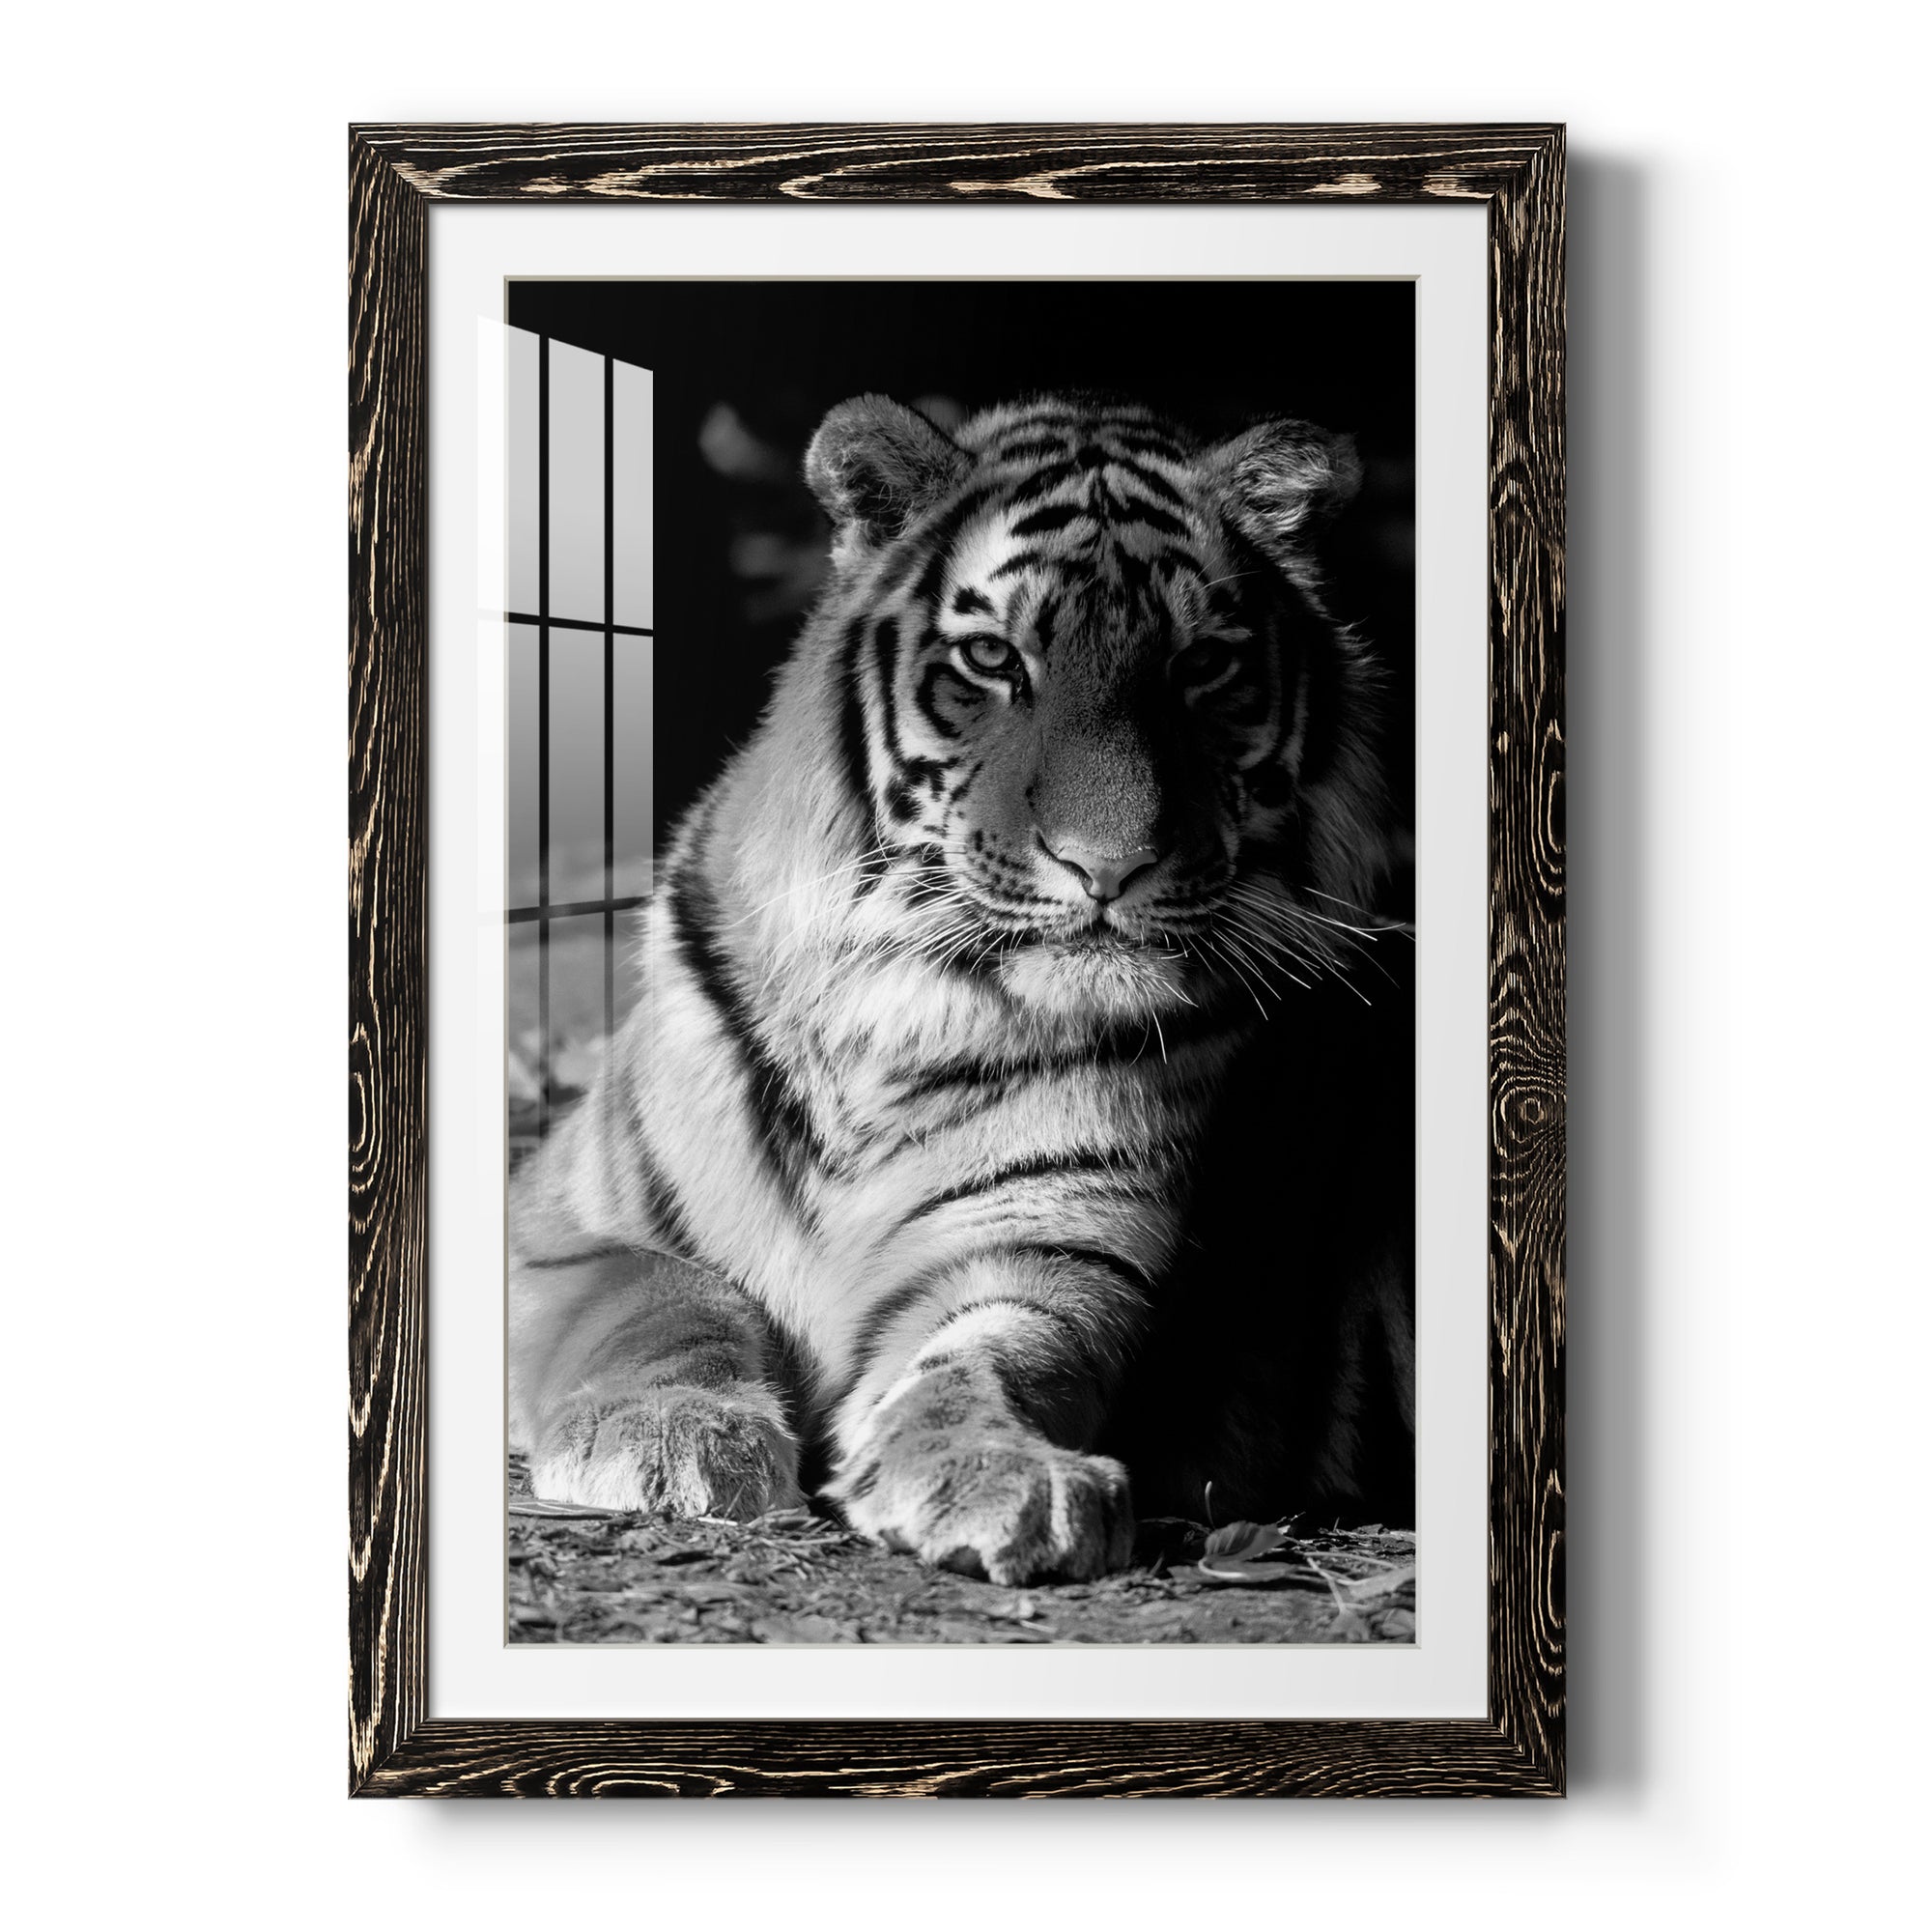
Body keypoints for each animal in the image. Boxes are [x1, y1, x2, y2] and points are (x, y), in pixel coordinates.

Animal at [509, 391, 1414, 1588]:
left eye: (1200, 667)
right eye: (992, 658)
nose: (1108, 865)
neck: (896, 1011)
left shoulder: (1049, 1247)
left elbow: (990, 1355)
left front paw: (999, 1473)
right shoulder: (560, 1219)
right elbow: (664, 1298)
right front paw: (666, 1434)